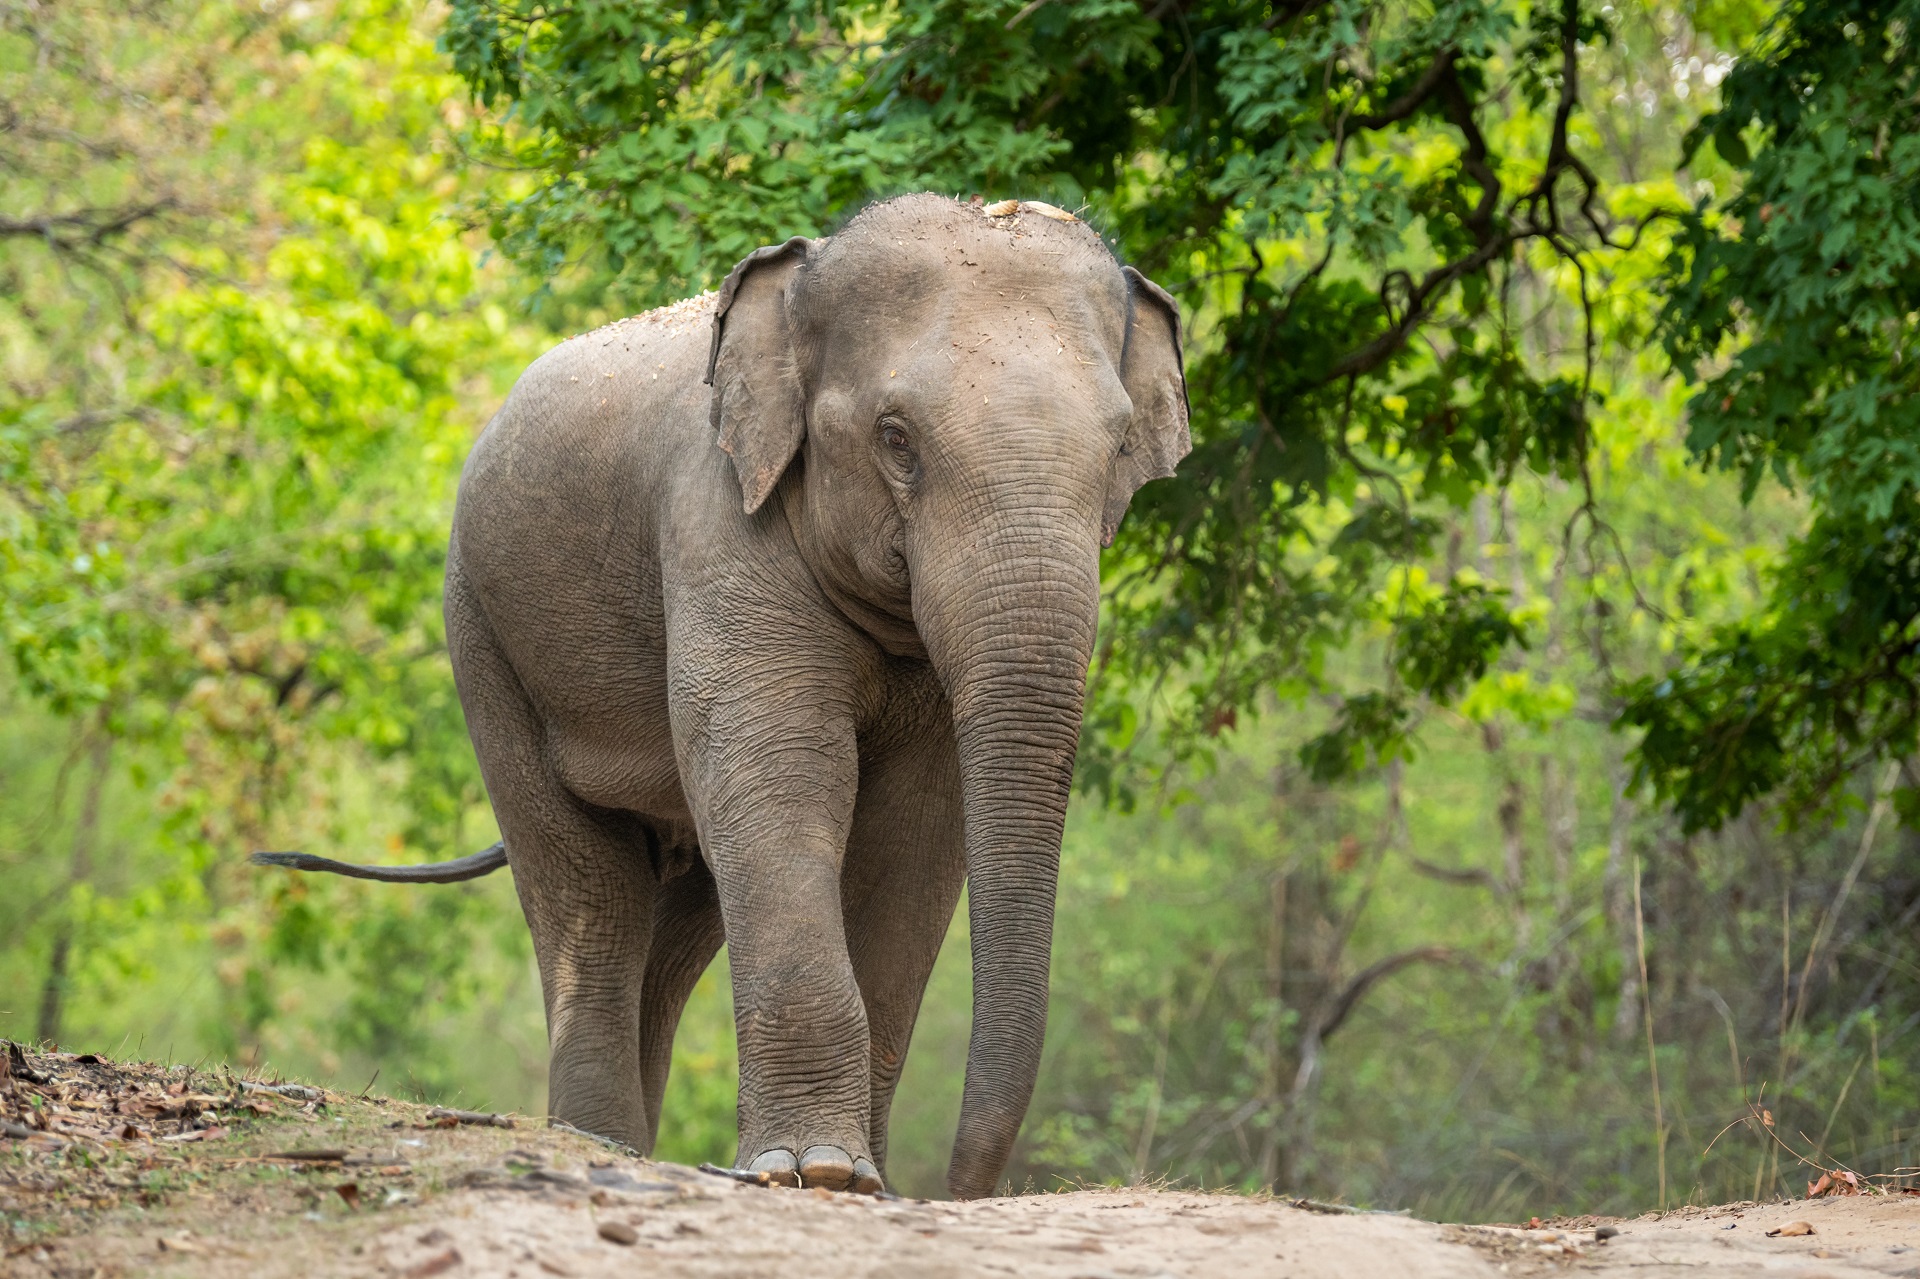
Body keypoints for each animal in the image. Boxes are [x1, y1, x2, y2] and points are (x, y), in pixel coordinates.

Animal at [255, 192, 1182, 1198]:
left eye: (1120, 445)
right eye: (895, 439)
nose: (954, 1188)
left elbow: (916, 825)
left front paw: (860, 1182)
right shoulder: (716, 523)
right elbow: (778, 770)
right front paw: (814, 1172)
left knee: (674, 922)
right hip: (483, 638)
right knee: (589, 892)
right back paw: (601, 1143)